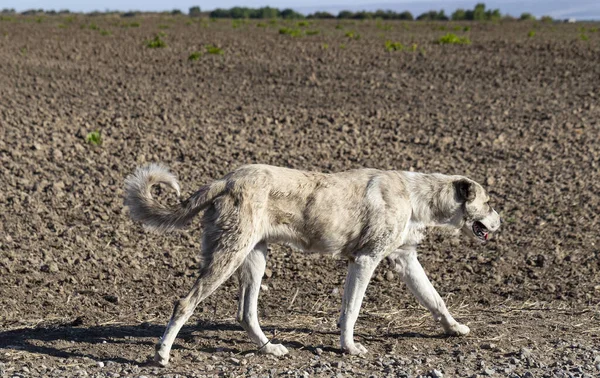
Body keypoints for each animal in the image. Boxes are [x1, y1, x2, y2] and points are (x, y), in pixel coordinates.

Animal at [125, 163, 502, 366]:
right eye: (488, 203)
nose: (502, 222)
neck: (415, 195)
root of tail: (227, 179)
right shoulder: (365, 260)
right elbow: (351, 310)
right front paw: (349, 347)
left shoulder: (406, 260)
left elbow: (435, 299)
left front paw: (455, 328)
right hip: (228, 257)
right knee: (184, 303)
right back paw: (161, 354)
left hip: (255, 259)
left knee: (245, 313)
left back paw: (269, 348)